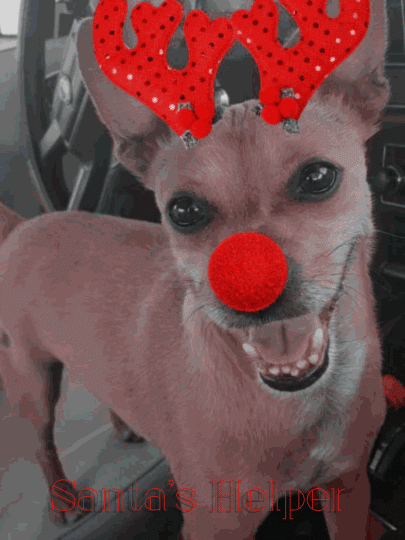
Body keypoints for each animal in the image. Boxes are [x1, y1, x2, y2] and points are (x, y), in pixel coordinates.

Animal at [0, 0, 391, 537]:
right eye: (183, 211)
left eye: (318, 177)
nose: (250, 283)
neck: (295, 404)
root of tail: (25, 224)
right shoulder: (214, 525)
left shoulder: (349, 488)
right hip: (33, 382)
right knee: (41, 441)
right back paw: (62, 496)